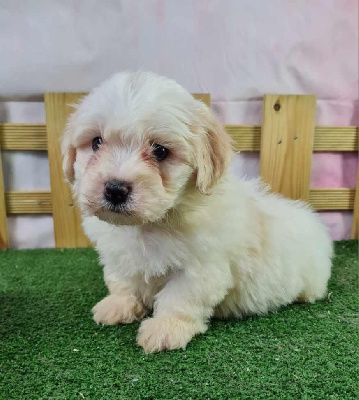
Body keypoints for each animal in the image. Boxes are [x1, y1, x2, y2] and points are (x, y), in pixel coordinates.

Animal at [62, 72, 334, 354]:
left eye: (160, 151)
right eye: (96, 142)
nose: (115, 189)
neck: (152, 224)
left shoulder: (200, 268)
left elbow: (179, 297)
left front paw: (166, 328)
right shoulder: (120, 254)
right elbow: (123, 281)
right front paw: (119, 305)